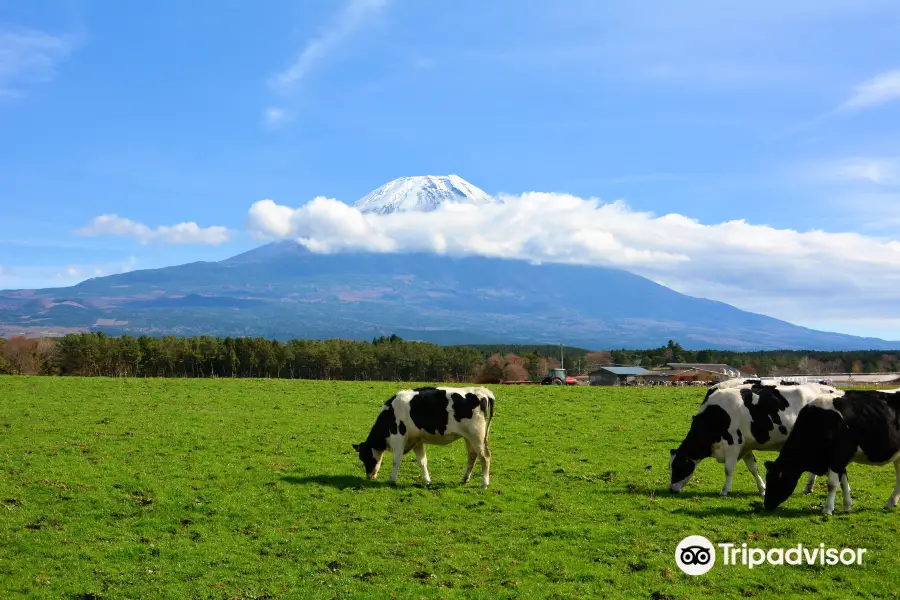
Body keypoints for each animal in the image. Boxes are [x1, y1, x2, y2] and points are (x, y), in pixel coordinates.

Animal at [352, 390, 496, 488]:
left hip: (477, 436)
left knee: (485, 457)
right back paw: (465, 479)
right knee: (472, 456)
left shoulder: (398, 437)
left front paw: (392, 479)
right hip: (469, 437)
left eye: (363, 457)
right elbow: (422, 461)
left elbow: (396, 460)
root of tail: (483, 392)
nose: (368, 476)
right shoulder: (417, 441)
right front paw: (427, 480)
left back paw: (485, 483)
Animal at [664, 382, 840, 494]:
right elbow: (753, 468)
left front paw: (725, 491)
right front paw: (762, 489)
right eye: (670, 467)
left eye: (678, 466)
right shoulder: (746, 447)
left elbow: (729, 469)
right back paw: (808, 488)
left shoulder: (733, 444)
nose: (671, 490)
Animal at [764, 390, 900, 516]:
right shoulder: (840, 461)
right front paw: (847, 506)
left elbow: (832, 484)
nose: (767, 505)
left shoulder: (838, 457)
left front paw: (827, 510)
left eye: (775, 481)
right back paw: (891, 503)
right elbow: (844, 482)